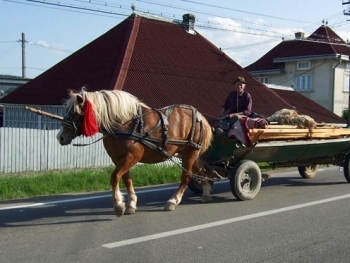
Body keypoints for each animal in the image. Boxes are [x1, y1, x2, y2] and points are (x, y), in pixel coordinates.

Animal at [56, 88, 213, 219]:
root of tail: (199, 116)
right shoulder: (118, 159)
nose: (60, 137)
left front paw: (119, 205)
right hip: (188, 152)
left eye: (75, 113)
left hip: (190, 152)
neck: (124, 123)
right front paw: (131, 204)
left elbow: (114, 177)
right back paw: (206, 193)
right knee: (200, 170)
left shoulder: (132, 157)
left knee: (186, 176)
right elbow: (126, 179)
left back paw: (173, 201)